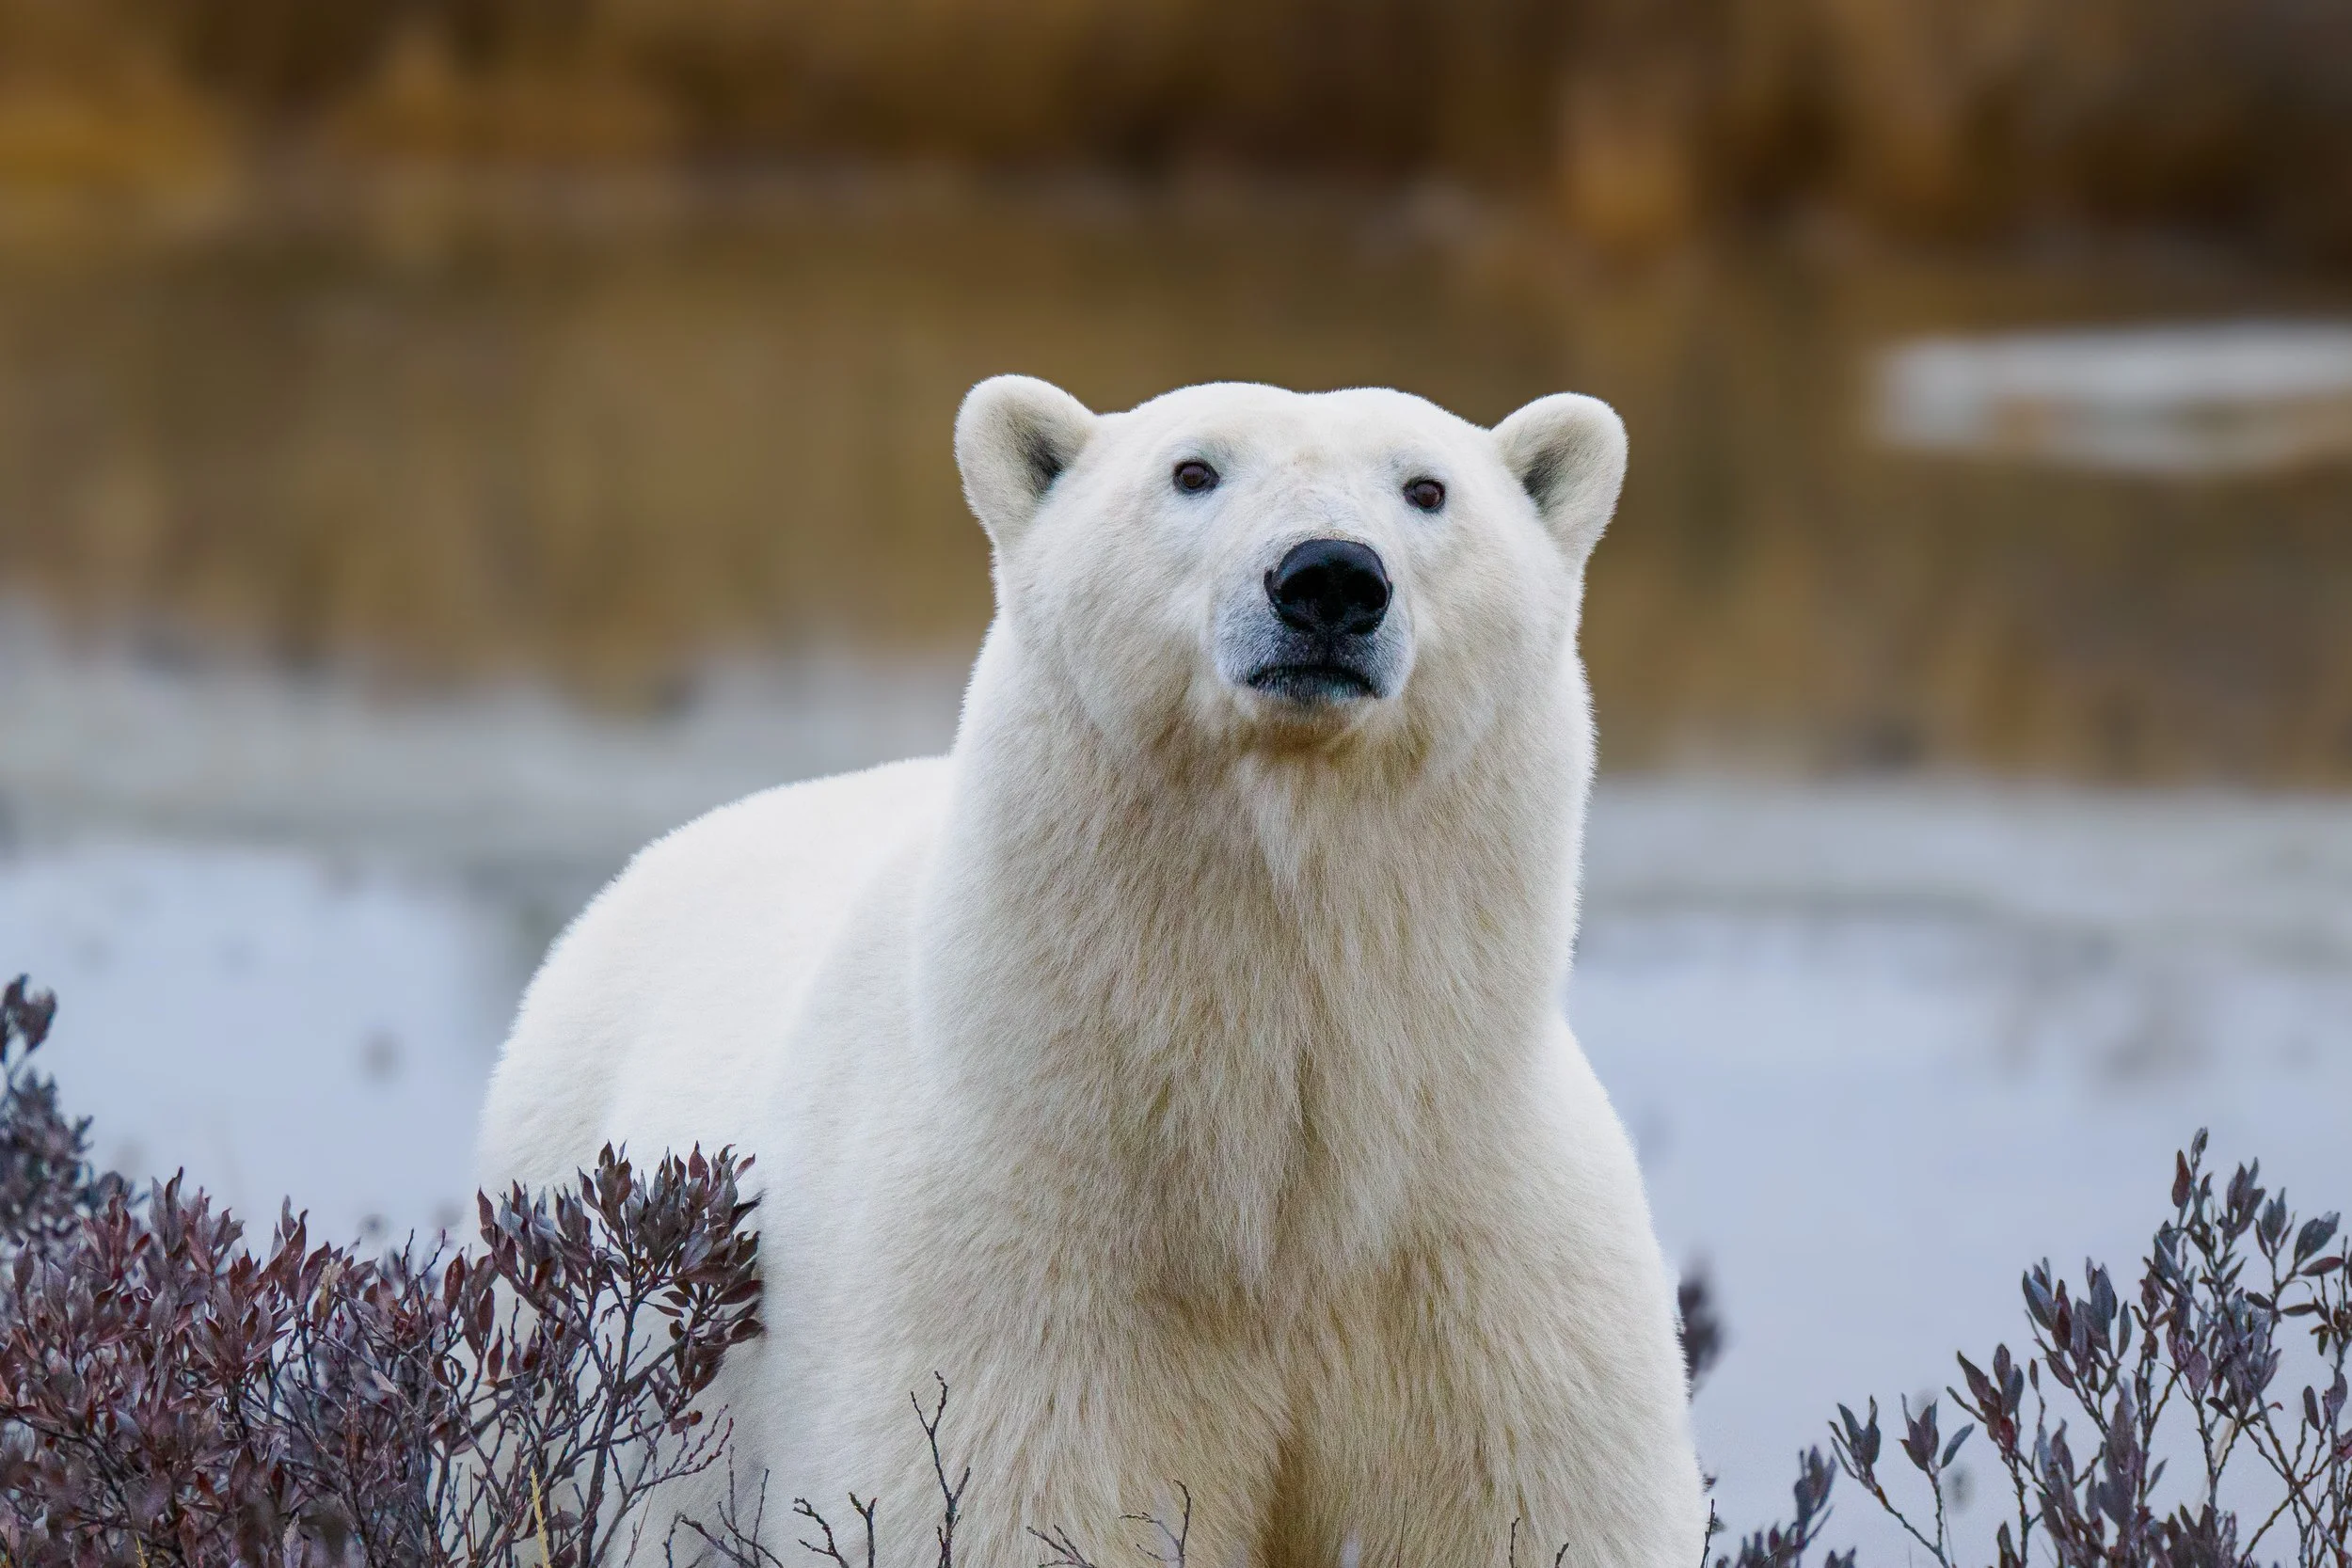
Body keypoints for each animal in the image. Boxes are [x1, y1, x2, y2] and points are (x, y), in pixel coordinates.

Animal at [476, 376, 1708, 1568]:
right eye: (1193, 470)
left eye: (1427, 487)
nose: (1328, 577)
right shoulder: (1021, 1262)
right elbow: (1018, 1503)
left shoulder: (1482, 1271)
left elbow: (1523, 1509)